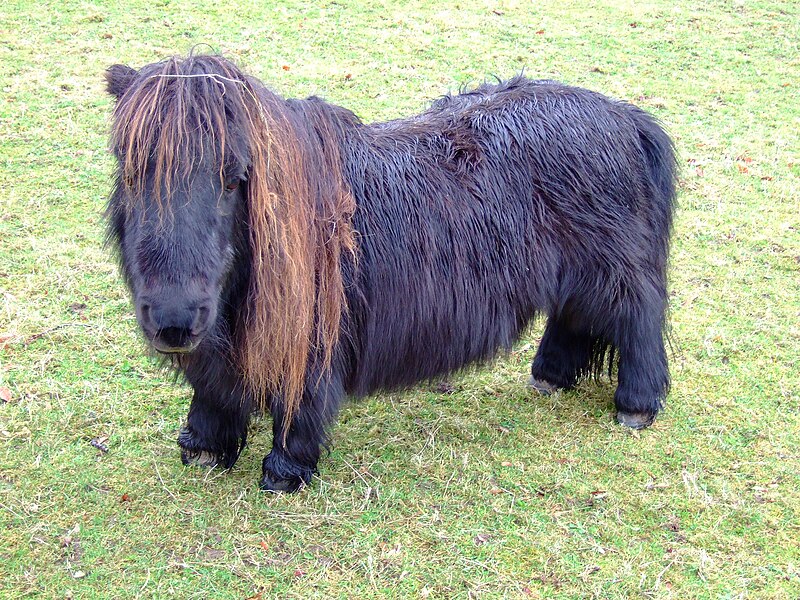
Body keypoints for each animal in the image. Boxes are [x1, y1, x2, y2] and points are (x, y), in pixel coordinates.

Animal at [106, 54, 680, 492]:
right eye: (132, 173)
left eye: (234, 177)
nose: (174, 321)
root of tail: (626, 118)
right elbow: (215, 389)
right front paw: (203, 448)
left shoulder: (314, 335)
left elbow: (299, 399)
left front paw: (285, 472)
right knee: (574, 320)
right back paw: (549, 379)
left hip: (615, 272)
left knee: (638, 319)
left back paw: (635, 407)